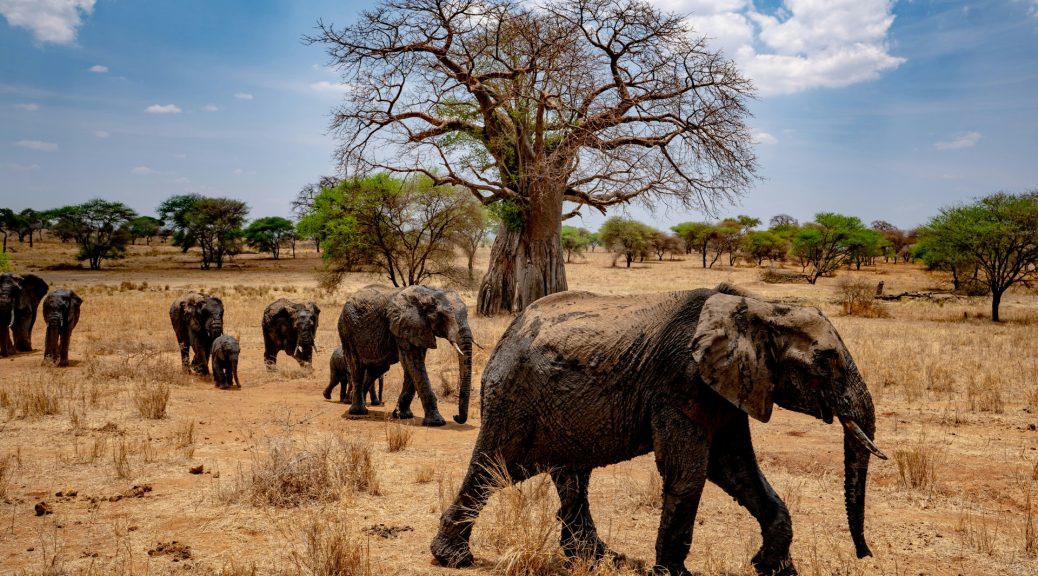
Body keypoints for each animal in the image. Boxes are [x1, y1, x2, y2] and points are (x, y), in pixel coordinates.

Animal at [338, 284, 473, 425]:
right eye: (443, 316)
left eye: (467, 314)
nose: (456, 417)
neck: (428, 293)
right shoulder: (404, 326)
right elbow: (413, 363)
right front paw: (436, 422)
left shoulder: (418, 329)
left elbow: (413, 367)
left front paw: (402, 415)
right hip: (347, 330)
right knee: (357, 367)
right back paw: (358, 411)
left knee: (376, 369)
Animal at [429, 284, 884, 576]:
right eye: (825, 361)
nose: (866, 554)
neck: (759, 308)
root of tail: (509, 332)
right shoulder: (680, 381)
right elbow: (690, 473)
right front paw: (674, 574)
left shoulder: (731, 386)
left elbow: (737, 470)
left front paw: (774, 569)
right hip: (513, 396)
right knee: (493, 468)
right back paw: (453, 558)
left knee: (570, 476)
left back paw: (597, 560)